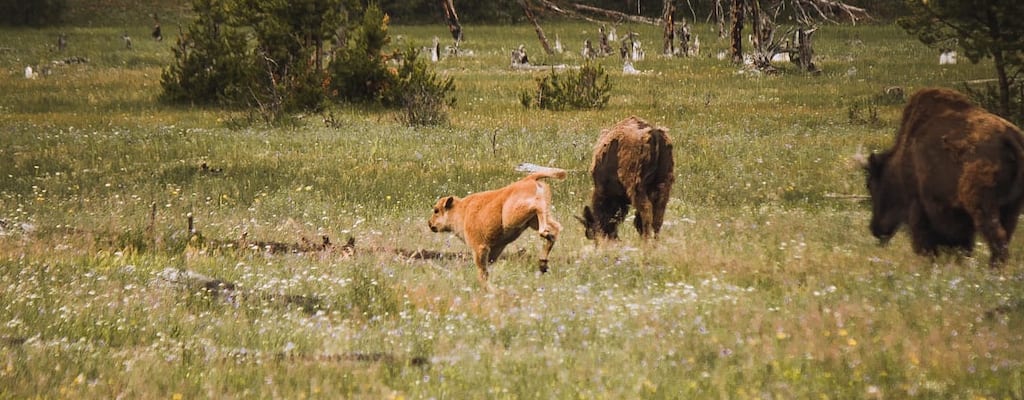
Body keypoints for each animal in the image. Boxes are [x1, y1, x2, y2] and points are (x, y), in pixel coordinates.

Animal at [425, 167, 569, 290]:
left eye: (436, 210)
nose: (430, 224)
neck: (462, 211)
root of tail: (528, 179)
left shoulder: (479, 248)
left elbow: (482, 270)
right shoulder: (495, 249)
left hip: (513, 216)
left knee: (539, 209)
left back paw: (544, 236)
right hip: (533, 221)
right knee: (556, 227)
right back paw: (543, 261)